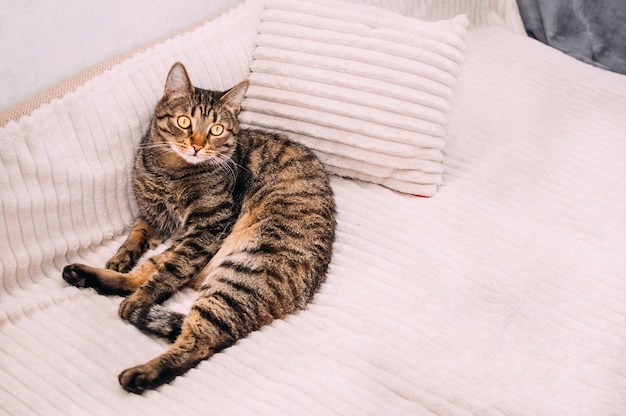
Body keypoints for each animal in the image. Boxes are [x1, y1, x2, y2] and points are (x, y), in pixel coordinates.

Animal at [62, 61, 336, 394]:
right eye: (184, 121)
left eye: (216, 129)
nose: (196, 145)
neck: (169, 172)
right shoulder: (154, 216)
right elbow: (137, 235)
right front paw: (121, 256)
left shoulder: (208, 226)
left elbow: (166, 274)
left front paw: (140, 297)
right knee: (148, 273)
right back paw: (82, 274)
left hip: (240, 273)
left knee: (200, 337)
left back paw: (140, 370)